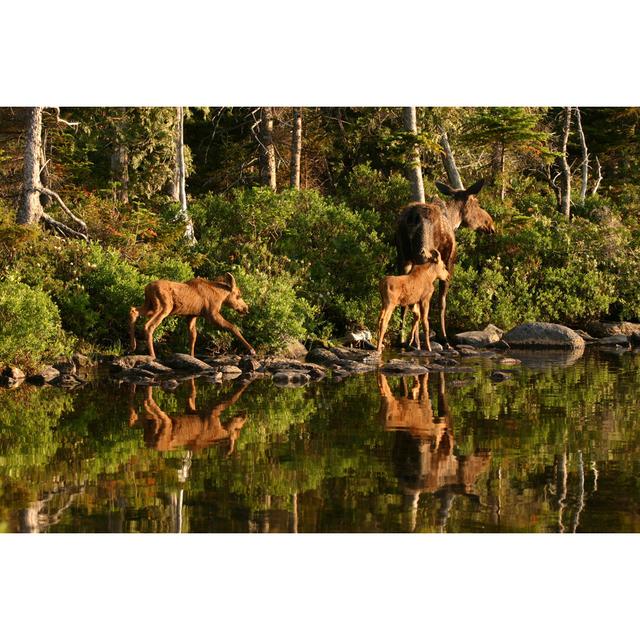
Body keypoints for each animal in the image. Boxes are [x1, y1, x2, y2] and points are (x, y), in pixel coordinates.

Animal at [396, 178, 496, 348]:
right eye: (476, 203)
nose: (490, 224)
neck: (453, 219)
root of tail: (412, 217)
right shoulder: (448, 263)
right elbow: (442, 302)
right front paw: (444, 339)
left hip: (403, 257)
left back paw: (401, 339)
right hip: (422, 255)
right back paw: (414, 341)